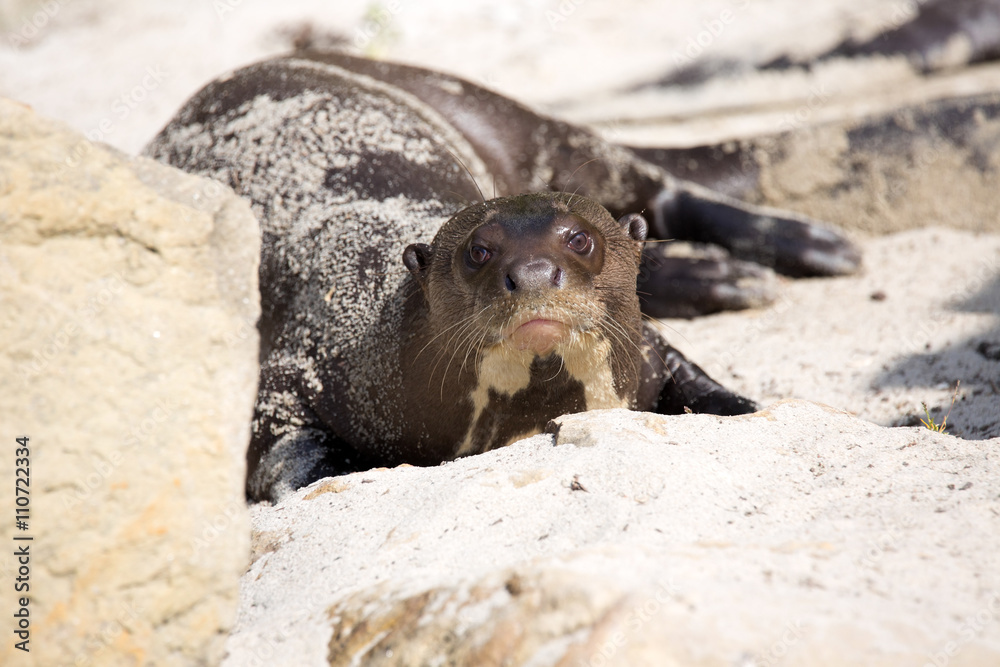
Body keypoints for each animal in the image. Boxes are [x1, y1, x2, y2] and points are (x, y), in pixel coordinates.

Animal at [145, 52, 859, 501]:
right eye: (478, 252)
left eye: (581, 240)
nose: (535, 272)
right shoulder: (296, 368)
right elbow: (286, 454)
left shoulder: (647, 347)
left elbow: (707, 385)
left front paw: (748, 407)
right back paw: (728, 275)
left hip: (510, 116)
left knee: (656, 185)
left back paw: (813, 247)